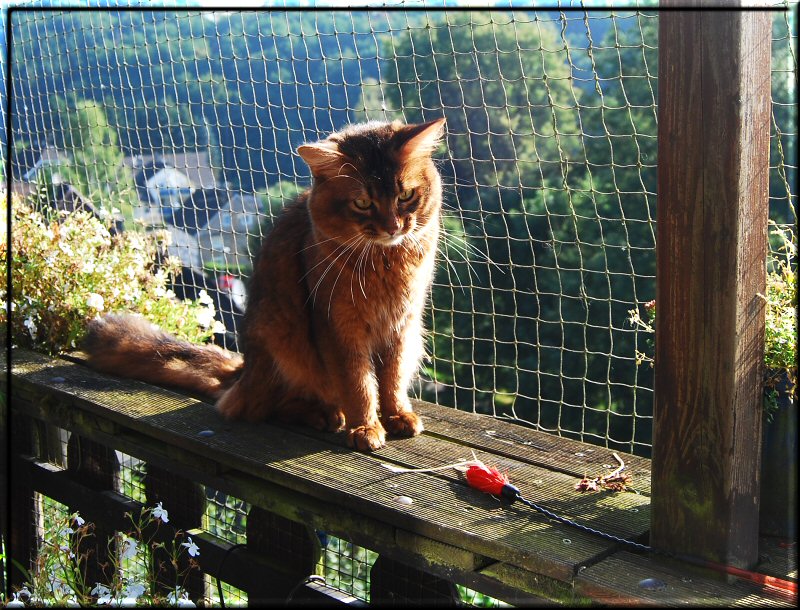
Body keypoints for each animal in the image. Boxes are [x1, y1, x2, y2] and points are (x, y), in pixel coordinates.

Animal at [84, 120, 446, 452]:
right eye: (362, 203)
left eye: (405, 195)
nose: (393, 227)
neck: (386, 261)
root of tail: (244, 371)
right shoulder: (339, 327)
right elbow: (358, 382)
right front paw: (366, 427)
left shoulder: (403, 325)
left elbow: (392, 378)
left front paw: (397, 415)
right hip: (280, 337)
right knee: (257, 407)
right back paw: (323, 415)